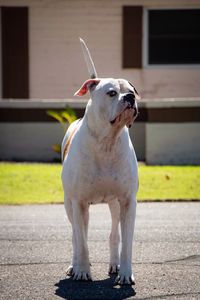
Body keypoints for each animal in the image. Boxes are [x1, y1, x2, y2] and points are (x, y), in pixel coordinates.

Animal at [61, 38, 139, 284]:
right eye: (112, 93)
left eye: (132, 91)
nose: (130, 98)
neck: (107, 140)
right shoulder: (78, 202)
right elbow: (82, 242)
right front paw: (82, 270)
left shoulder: (128, 201)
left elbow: (126, 242)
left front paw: (125, 273)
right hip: (70, 205)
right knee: (77, 235)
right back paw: (74, 265)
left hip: (114, 204)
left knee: (114, 234)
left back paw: (114, 265)